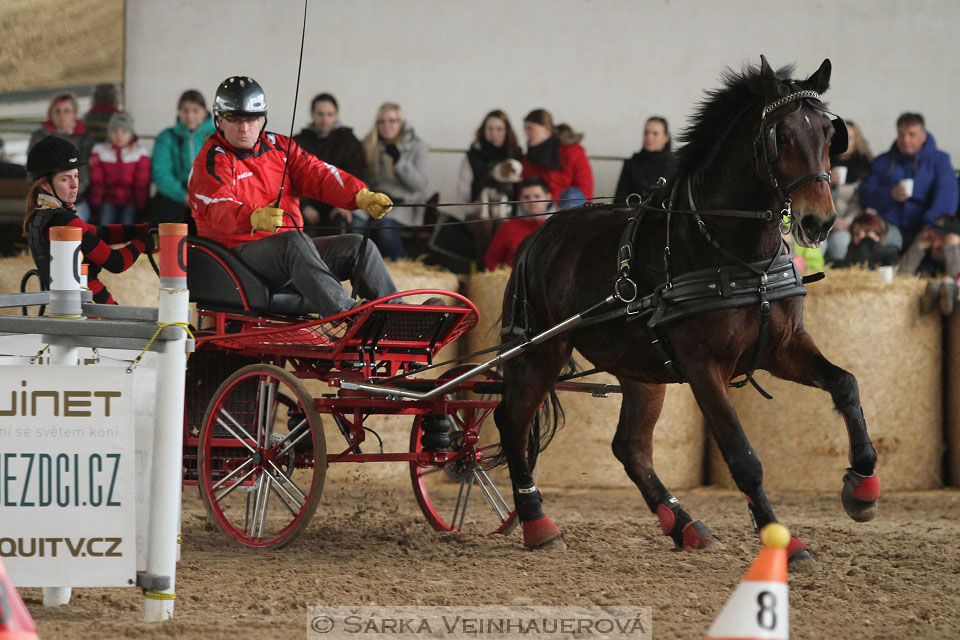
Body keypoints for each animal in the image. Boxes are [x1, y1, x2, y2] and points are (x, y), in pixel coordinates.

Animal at [496, 56, 876, 568]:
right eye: (781, 134)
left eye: (828, 132)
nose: (819, 221)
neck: (736, 255)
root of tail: (538, 235)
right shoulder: (702, 366)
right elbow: (742, 456)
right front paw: (783, 540)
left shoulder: (783, 347)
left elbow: (845, 384)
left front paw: (862, 488)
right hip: (539, 352)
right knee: (511, 422)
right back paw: (537, 522)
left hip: (640, 368)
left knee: (630, 447)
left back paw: (685, 524)